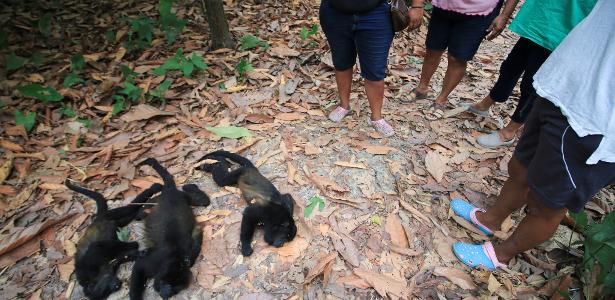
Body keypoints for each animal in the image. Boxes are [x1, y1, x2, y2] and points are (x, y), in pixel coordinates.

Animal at [129, 158, 208, 298]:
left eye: (176, 290)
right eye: (167, 284)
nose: (166, 294)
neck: (176, 258)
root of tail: (171, 191)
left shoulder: (189, 256)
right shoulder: (156, 260)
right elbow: (139, 266)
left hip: (183, 197)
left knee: (203, 201)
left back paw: (190, 187)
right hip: (160, 199)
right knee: (144, 210)